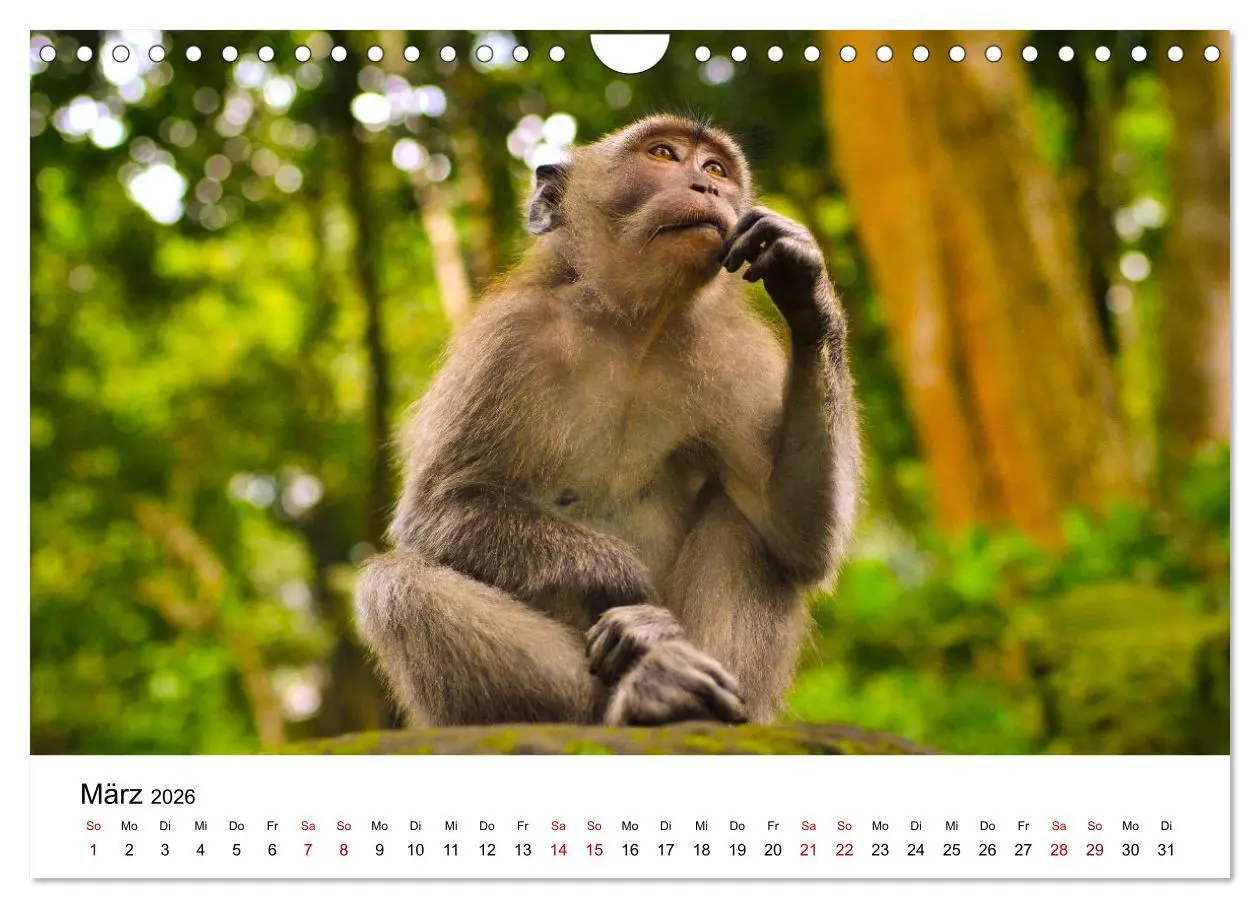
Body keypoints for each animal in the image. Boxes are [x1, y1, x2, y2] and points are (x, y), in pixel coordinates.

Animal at [355, 114, 861, 728]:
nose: (708, 187)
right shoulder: (506, 340)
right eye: (663, 155)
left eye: (716, 168)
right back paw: (645, 691)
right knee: (396, 585)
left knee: (747, 524)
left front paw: (805, 283)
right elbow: (439, 509)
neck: (634, 328)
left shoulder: (734, 356)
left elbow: (796, 534)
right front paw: (632, 593)